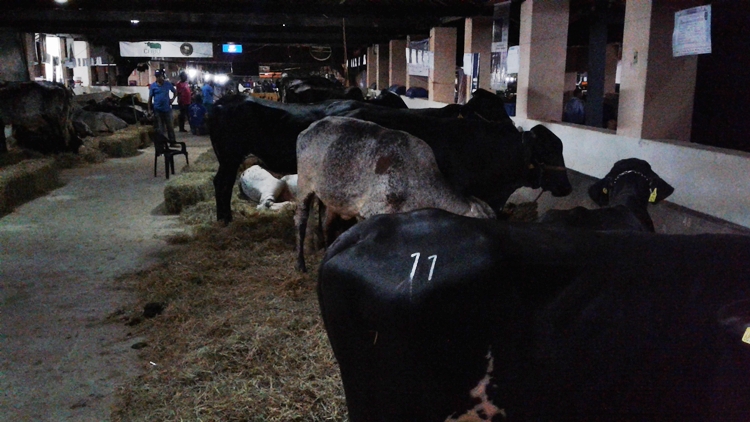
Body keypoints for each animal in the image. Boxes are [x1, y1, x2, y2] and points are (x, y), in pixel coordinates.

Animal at [294, 116, 495, 271]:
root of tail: (309, 128)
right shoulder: (370, 211)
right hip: (304, 186)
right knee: (301, 220)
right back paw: (300, 263)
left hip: (332, 198)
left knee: (327, 223)